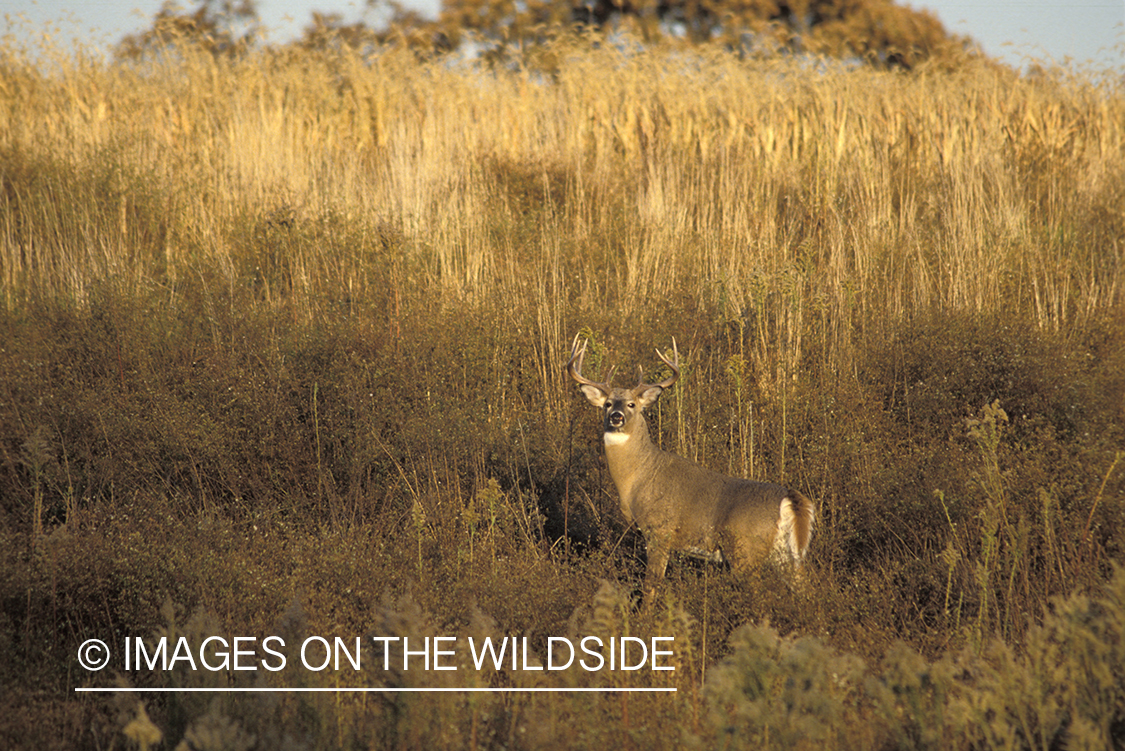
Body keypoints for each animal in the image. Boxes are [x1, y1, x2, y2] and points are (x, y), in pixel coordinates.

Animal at [567, 335, 814, 593]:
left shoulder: (659, 531)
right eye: (607, 404)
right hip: (786, 556)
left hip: (746, 550)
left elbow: (651, 586)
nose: (616, 416)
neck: (636, 479)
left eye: (631, 404)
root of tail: (790, 498)